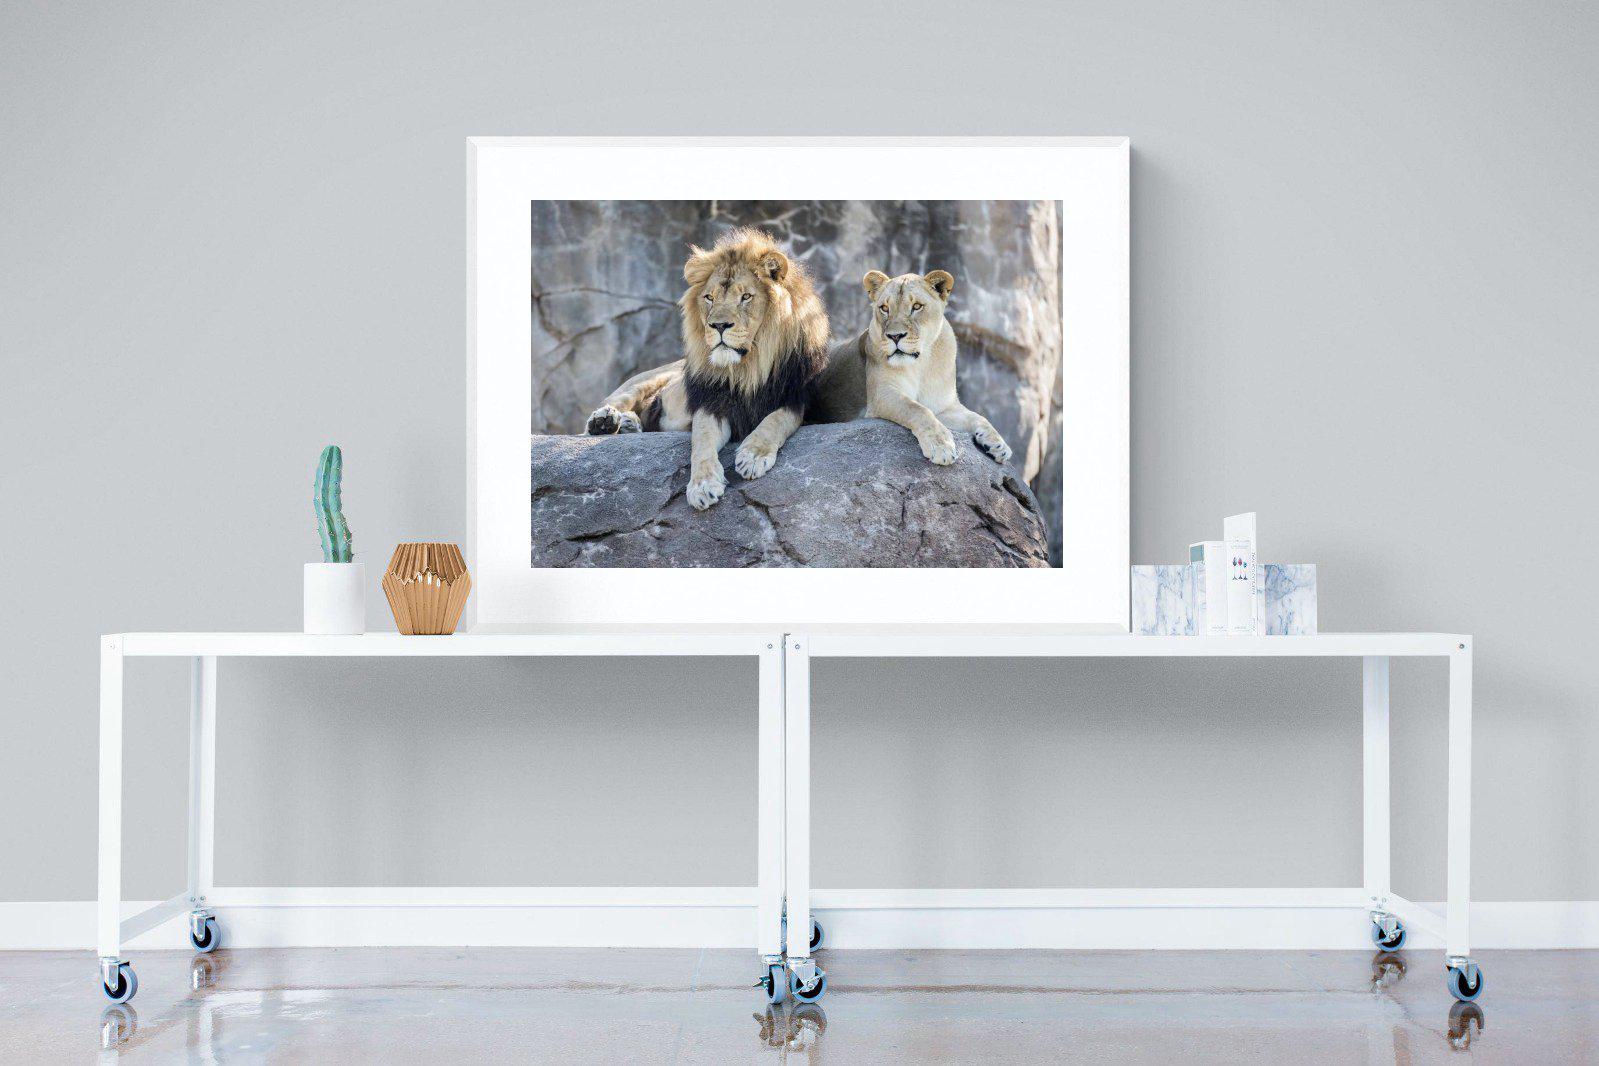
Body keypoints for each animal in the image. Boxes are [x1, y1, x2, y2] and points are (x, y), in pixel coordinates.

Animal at [583, 229, 830, 510]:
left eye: (746, 297)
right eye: (709, 297)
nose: (719, 325)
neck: (747, 369)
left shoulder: (796, 399)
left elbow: (775, 420)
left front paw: (753, 456)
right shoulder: (711, 403)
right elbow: (701, 441)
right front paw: (702, 486)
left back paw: (628, 424)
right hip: (644, 380)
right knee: (613, 403)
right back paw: (605, 421)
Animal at [810, 268, 1012, 466]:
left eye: (916, 306)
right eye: (884, 308)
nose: (895, 336)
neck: (921, 364)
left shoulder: (944, 406)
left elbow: (978, 417)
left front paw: (998, 444)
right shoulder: (882, 395)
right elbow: (918, 409)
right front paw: (941, 446)